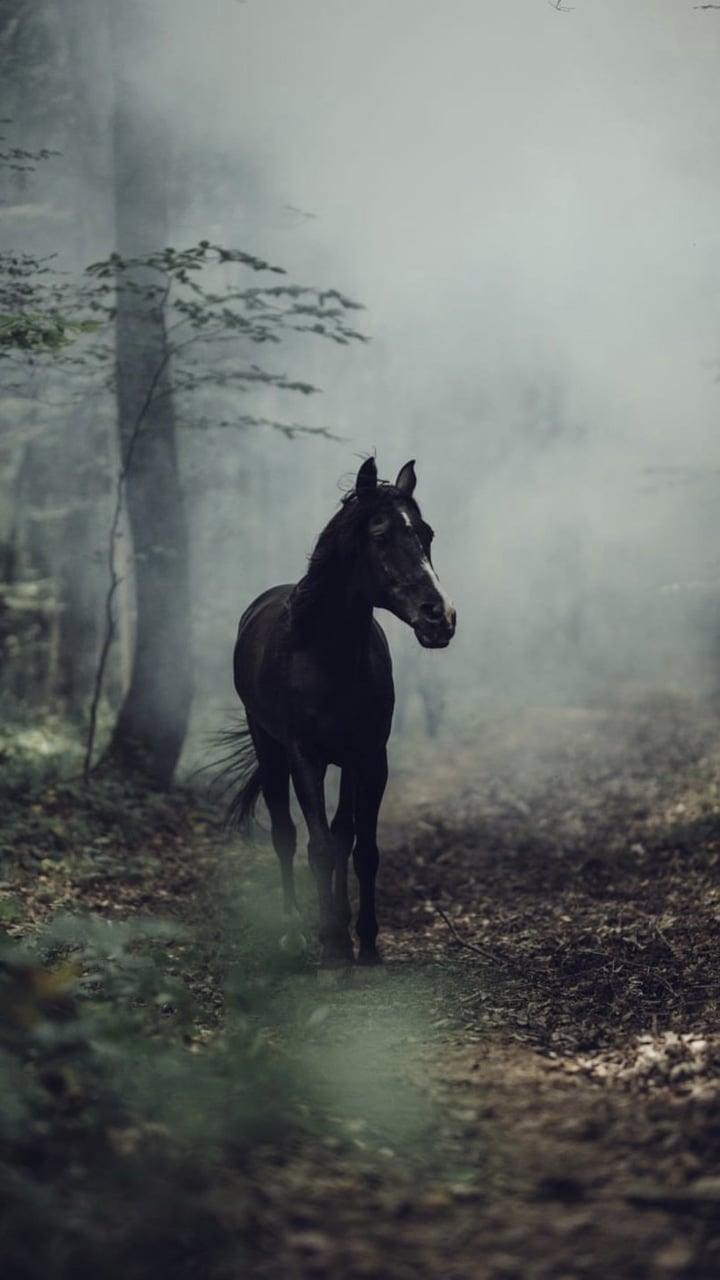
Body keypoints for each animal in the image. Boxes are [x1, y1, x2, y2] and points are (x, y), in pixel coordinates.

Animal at [228, 457, 456, 967]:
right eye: (380, 536)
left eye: (427, 534)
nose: (440, 617)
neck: (328, 656)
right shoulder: (305, 758)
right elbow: (318, 847)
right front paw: (331, 942)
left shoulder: (370, 756)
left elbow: (362, 847)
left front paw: (365, 942)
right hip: (269, 750)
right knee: (286, 833)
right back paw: (296, 930)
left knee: (343, 833)